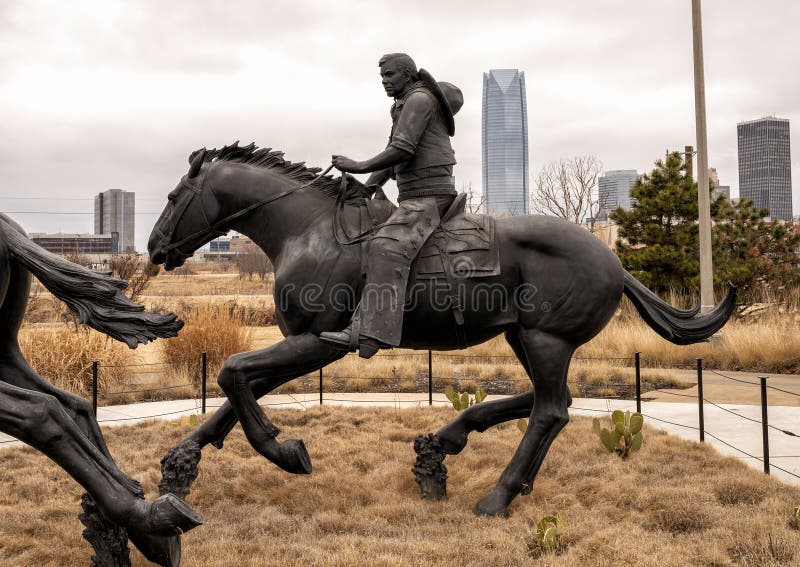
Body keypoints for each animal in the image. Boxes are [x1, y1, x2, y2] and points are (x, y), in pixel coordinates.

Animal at [147, 145, 736, 520]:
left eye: (175, 196)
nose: (154, 247)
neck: (307, 231)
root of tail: (615, 261)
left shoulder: (319, 343)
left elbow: (233, 374)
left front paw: (285, 451)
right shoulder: (302, 343)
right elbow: (236, 390)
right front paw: (180, 465)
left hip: (545, 340)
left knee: (551, 411)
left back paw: (496, 496)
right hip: (524, 338)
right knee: (554, 401)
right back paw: (448, 442)